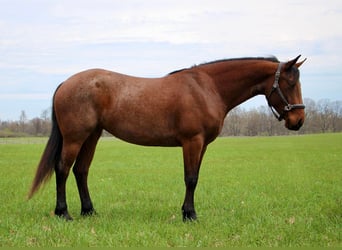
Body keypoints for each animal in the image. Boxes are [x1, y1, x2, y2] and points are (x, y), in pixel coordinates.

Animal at [28, 55, 308, 221]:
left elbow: (195, 177)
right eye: (289, 83)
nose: (298, 121)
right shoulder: (192, 141)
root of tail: (66, 83)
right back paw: (63, 213)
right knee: (63, 169)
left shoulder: (202, 145)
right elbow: (191, 178)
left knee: (81, 170)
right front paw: (190, 215)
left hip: (92, 136)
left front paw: (187, 212)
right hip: (75, 137)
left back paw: (89, 211)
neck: (207, 88)